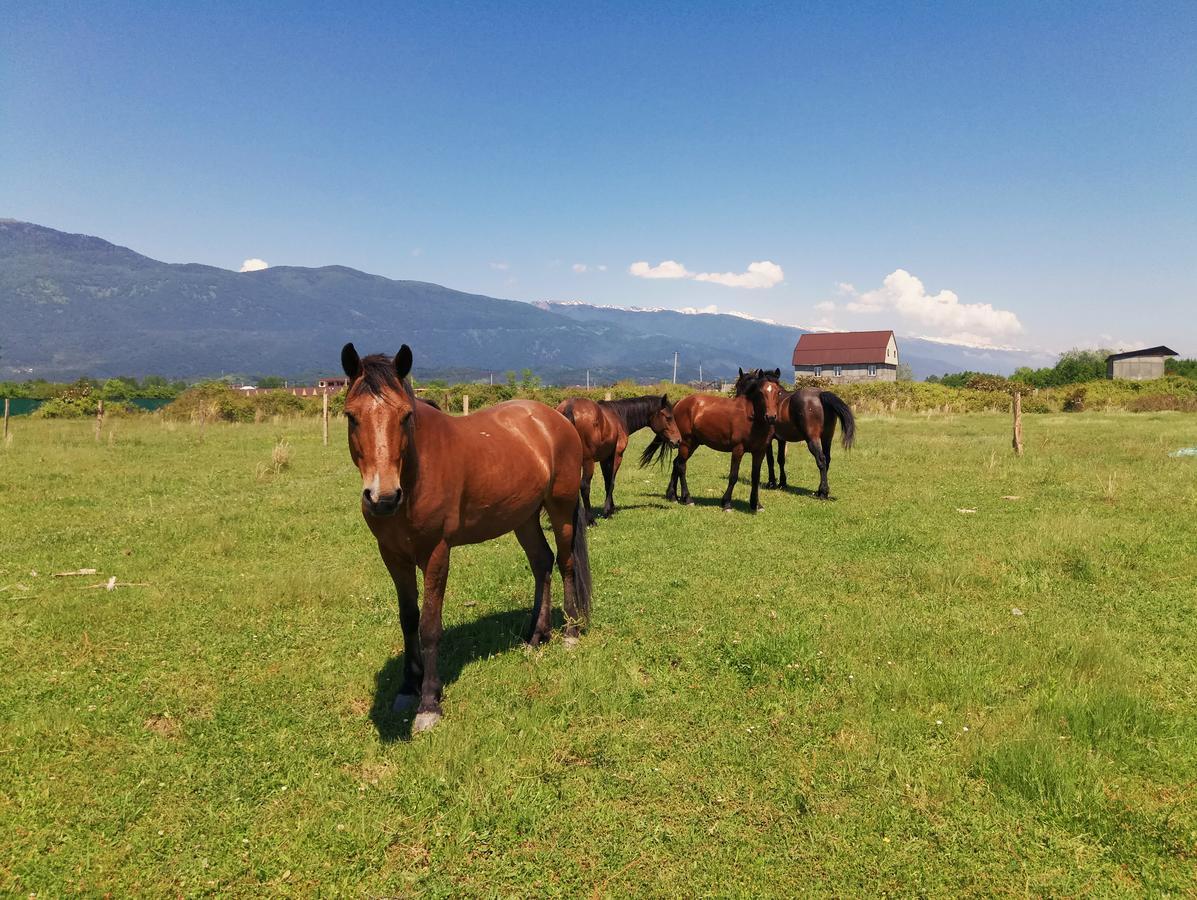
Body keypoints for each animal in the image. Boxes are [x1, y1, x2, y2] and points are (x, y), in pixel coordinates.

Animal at [339, 342, 591, 732]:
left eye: (405, 416)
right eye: (352, 416)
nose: (383, 497)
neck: (415, 475)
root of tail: (556, 418)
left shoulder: (436, 554)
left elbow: (429, 625)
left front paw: (429, 703)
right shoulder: (393, 556)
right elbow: (408, 619)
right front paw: (407, 688)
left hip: (561, 510)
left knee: (565, 563)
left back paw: (570, 634)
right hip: (524, 518)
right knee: (542, 563)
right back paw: (536, 636)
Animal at [553, 394, 679, 526]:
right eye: (669, 417)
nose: (677, 441)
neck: (619, 415)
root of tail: (569, 407)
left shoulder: (605, 459)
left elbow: (607, 481)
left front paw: (611, 508)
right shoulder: (617, 455)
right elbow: (611, 482)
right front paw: (608, 511)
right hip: (588, 462)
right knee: (584, 486)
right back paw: (590, 520)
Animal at [646, 366, 785, 512]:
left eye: (779, 392)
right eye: (761, 392)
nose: (771, 417)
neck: (752, 418)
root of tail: (680, 403)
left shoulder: (760, 451)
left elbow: (755, 477)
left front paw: (756, 505)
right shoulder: (738, 449)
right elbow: (733, 476)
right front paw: (727, 503)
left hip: (693, 444)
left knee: (676, 463)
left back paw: (673, 496)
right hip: (686, 443)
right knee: (681, 466)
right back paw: (687, 498)